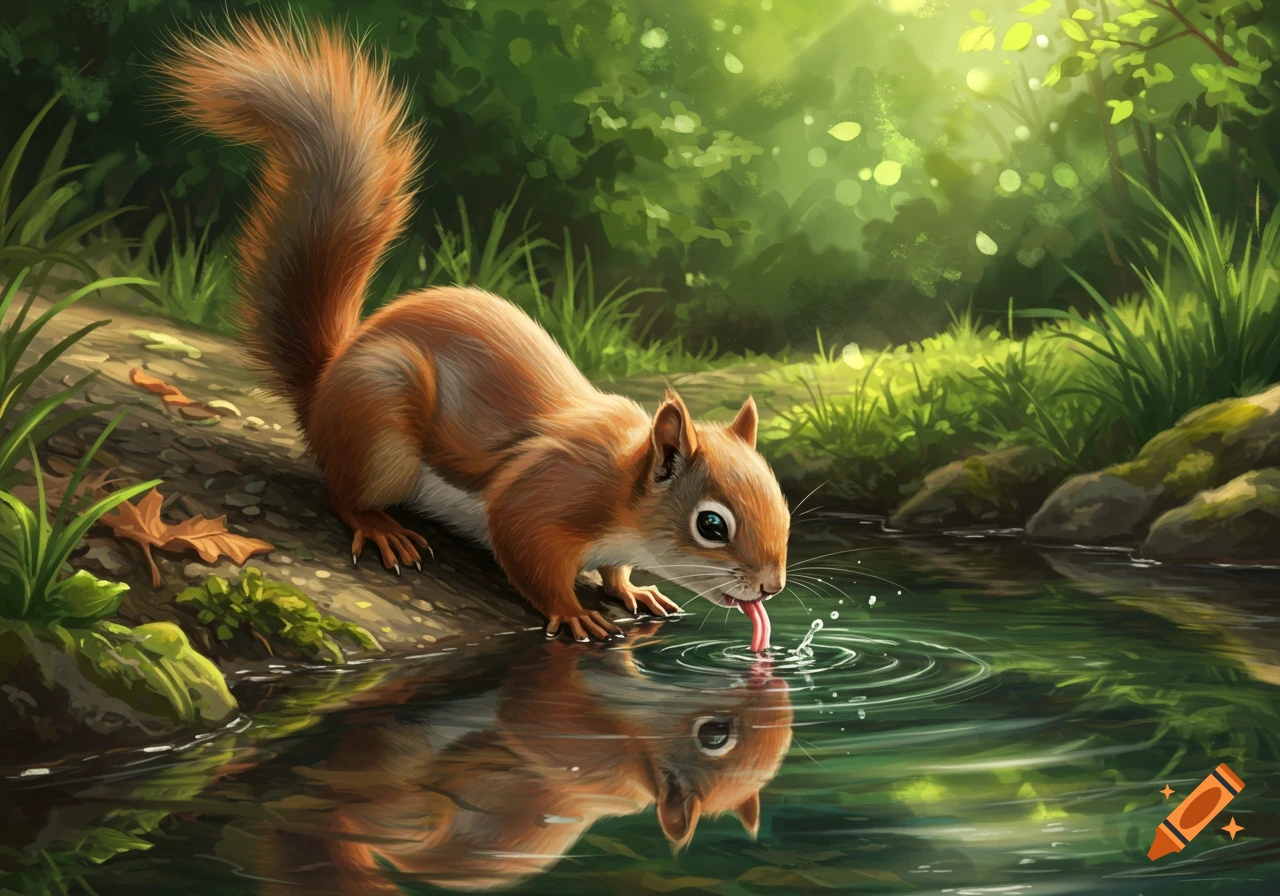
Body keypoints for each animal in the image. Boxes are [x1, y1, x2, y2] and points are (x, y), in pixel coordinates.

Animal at [157, 16, 790, 644]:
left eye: (781, 504)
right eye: (712, 525)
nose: (771, 588)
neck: (623, 489)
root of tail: (323, 385)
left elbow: (614, 569)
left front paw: (633, 590)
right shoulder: (545, 494)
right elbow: (527, 550)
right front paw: (573, 611)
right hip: (379, 422)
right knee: (343, 493)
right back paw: (381, 527)